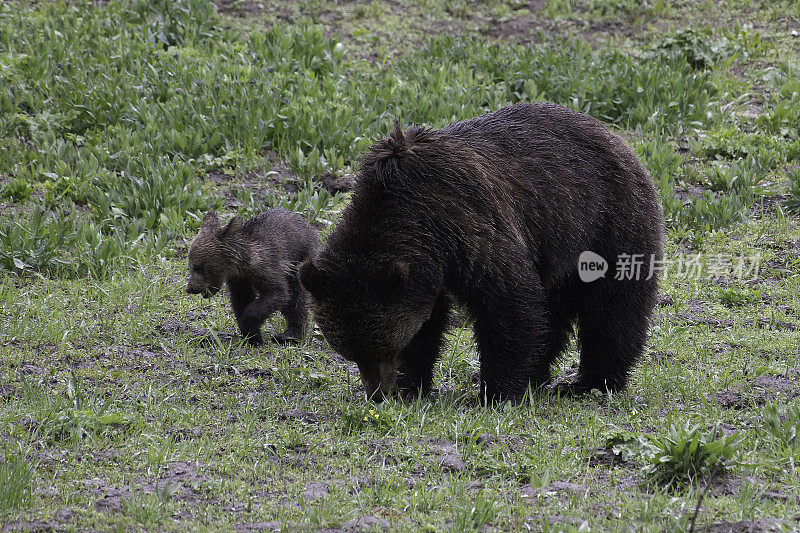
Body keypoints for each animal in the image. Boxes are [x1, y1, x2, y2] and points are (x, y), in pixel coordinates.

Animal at [300, 103, 664, 404]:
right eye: (351, 352)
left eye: (384, 347)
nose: (377, 392)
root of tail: (617, 138)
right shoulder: (427, 266)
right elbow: (429, 320)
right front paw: (411, 384)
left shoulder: (465, 223)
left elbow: (508, 302)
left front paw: (495, 392)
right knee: (554, 310)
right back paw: (540, 375)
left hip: (608, 221)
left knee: (612, 309)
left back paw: (591, 382)